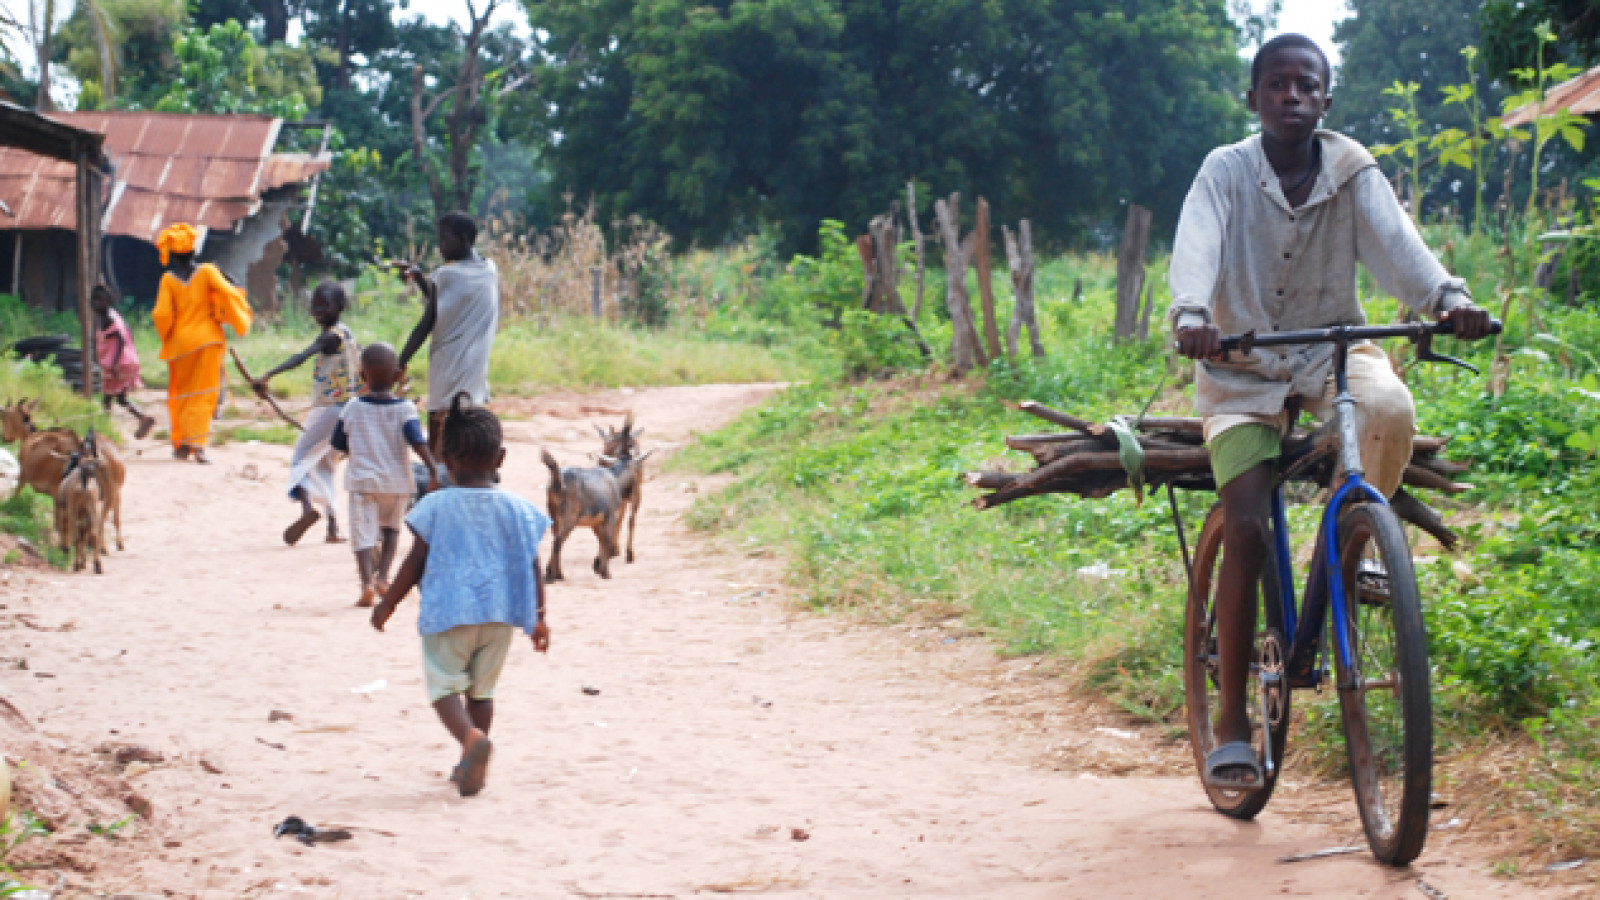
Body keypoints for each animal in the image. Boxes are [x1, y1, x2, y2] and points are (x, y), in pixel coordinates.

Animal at [598, 413, 646, 560]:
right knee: (630, 519)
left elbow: (619, 518)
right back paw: (628, 553)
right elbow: (622, 517)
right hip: (634, 493)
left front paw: (613, 549)